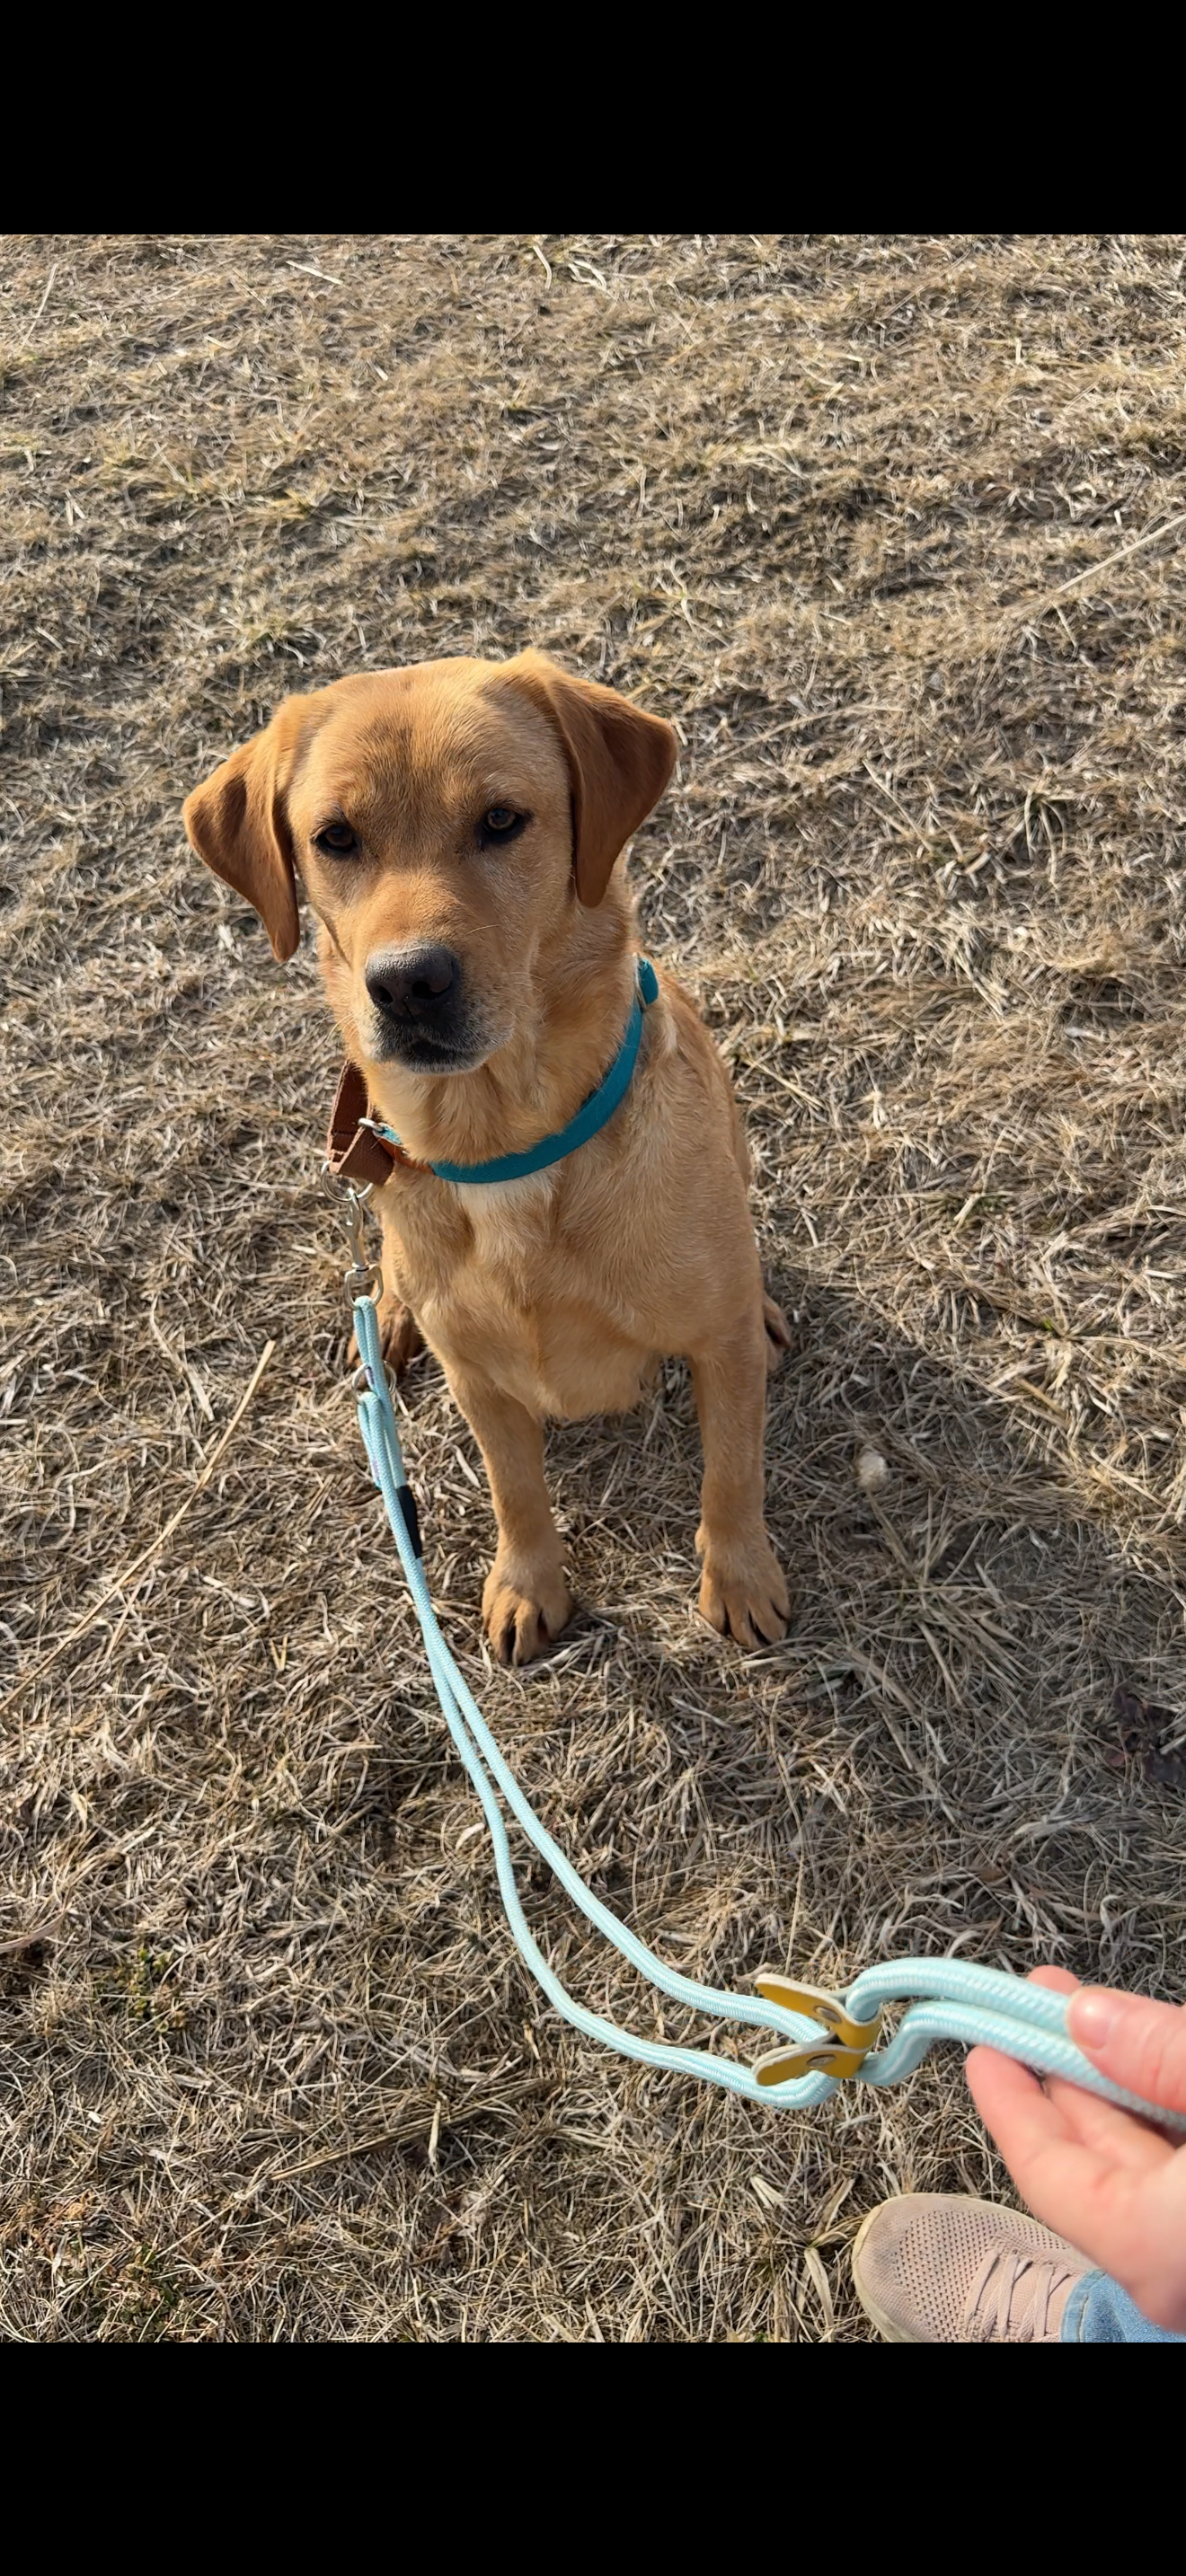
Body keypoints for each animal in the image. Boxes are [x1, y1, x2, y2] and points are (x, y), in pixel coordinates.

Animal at [184, 650, 789, 1662]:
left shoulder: (716, 1347)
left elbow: (732, 1472)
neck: (503, 1147)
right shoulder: (482, 1384)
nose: (406, 983)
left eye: (502, 821)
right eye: (334, 838)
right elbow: (516, 1492)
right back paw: (389, 1316)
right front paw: (528, 1584)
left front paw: (739, 1576)